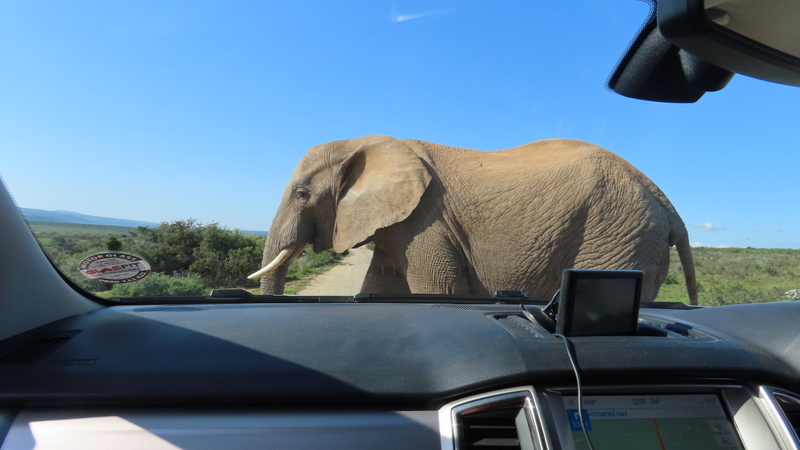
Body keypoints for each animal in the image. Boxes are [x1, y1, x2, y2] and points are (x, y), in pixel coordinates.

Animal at [249, 135, 698, 305]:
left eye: (302, 195)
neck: (360, 142)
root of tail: (664, 199)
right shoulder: (400, 227)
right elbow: (379, 285)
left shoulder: (426, 221)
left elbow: (439, 290)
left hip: (618, 234)